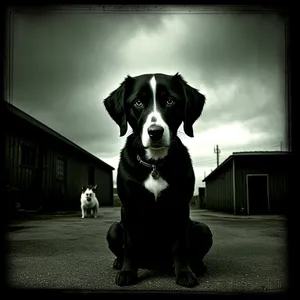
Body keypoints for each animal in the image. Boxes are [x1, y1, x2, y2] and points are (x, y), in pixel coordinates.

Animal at [104, 73, 212, 288]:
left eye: (170, 101)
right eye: (137, 102)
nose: (155, 132)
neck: (155, 163)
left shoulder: (180, 206)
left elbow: (180, 245)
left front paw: (184, 273)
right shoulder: (129, 206)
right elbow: (130, 244)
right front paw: (127, 272)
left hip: (203, 229)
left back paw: (196, 265)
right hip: (114, 229)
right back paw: (119, 262)